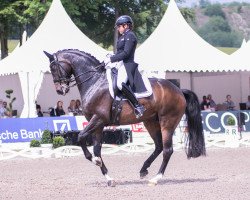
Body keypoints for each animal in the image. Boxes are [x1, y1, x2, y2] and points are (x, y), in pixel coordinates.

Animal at [44, 48, 206, 186]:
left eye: (54, 68)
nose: (60, 90)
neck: (94, 82)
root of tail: (179, 90)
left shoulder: (98, 118)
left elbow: (81, 137)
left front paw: (95, 161)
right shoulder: (98, 124)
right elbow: (97, 149)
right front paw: (109, 178)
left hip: (167, 122)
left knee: (167, 150)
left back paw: (156, 178)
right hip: (150, 122)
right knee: (159, 146)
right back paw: (143, 170)